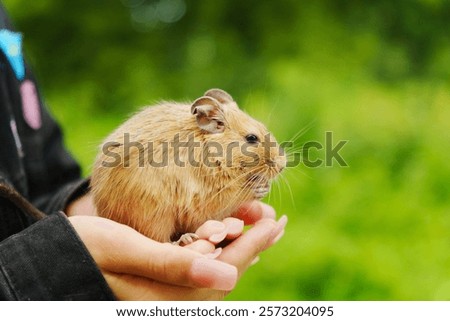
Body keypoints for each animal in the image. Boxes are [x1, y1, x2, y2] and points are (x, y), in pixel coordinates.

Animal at [90, 88, 286, 242]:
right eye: (252, 138)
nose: (282, 165)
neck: (213, 151)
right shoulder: (209, 195)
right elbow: (235, 193)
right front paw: (258, 188)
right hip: (154, 214)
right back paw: (185, 239)